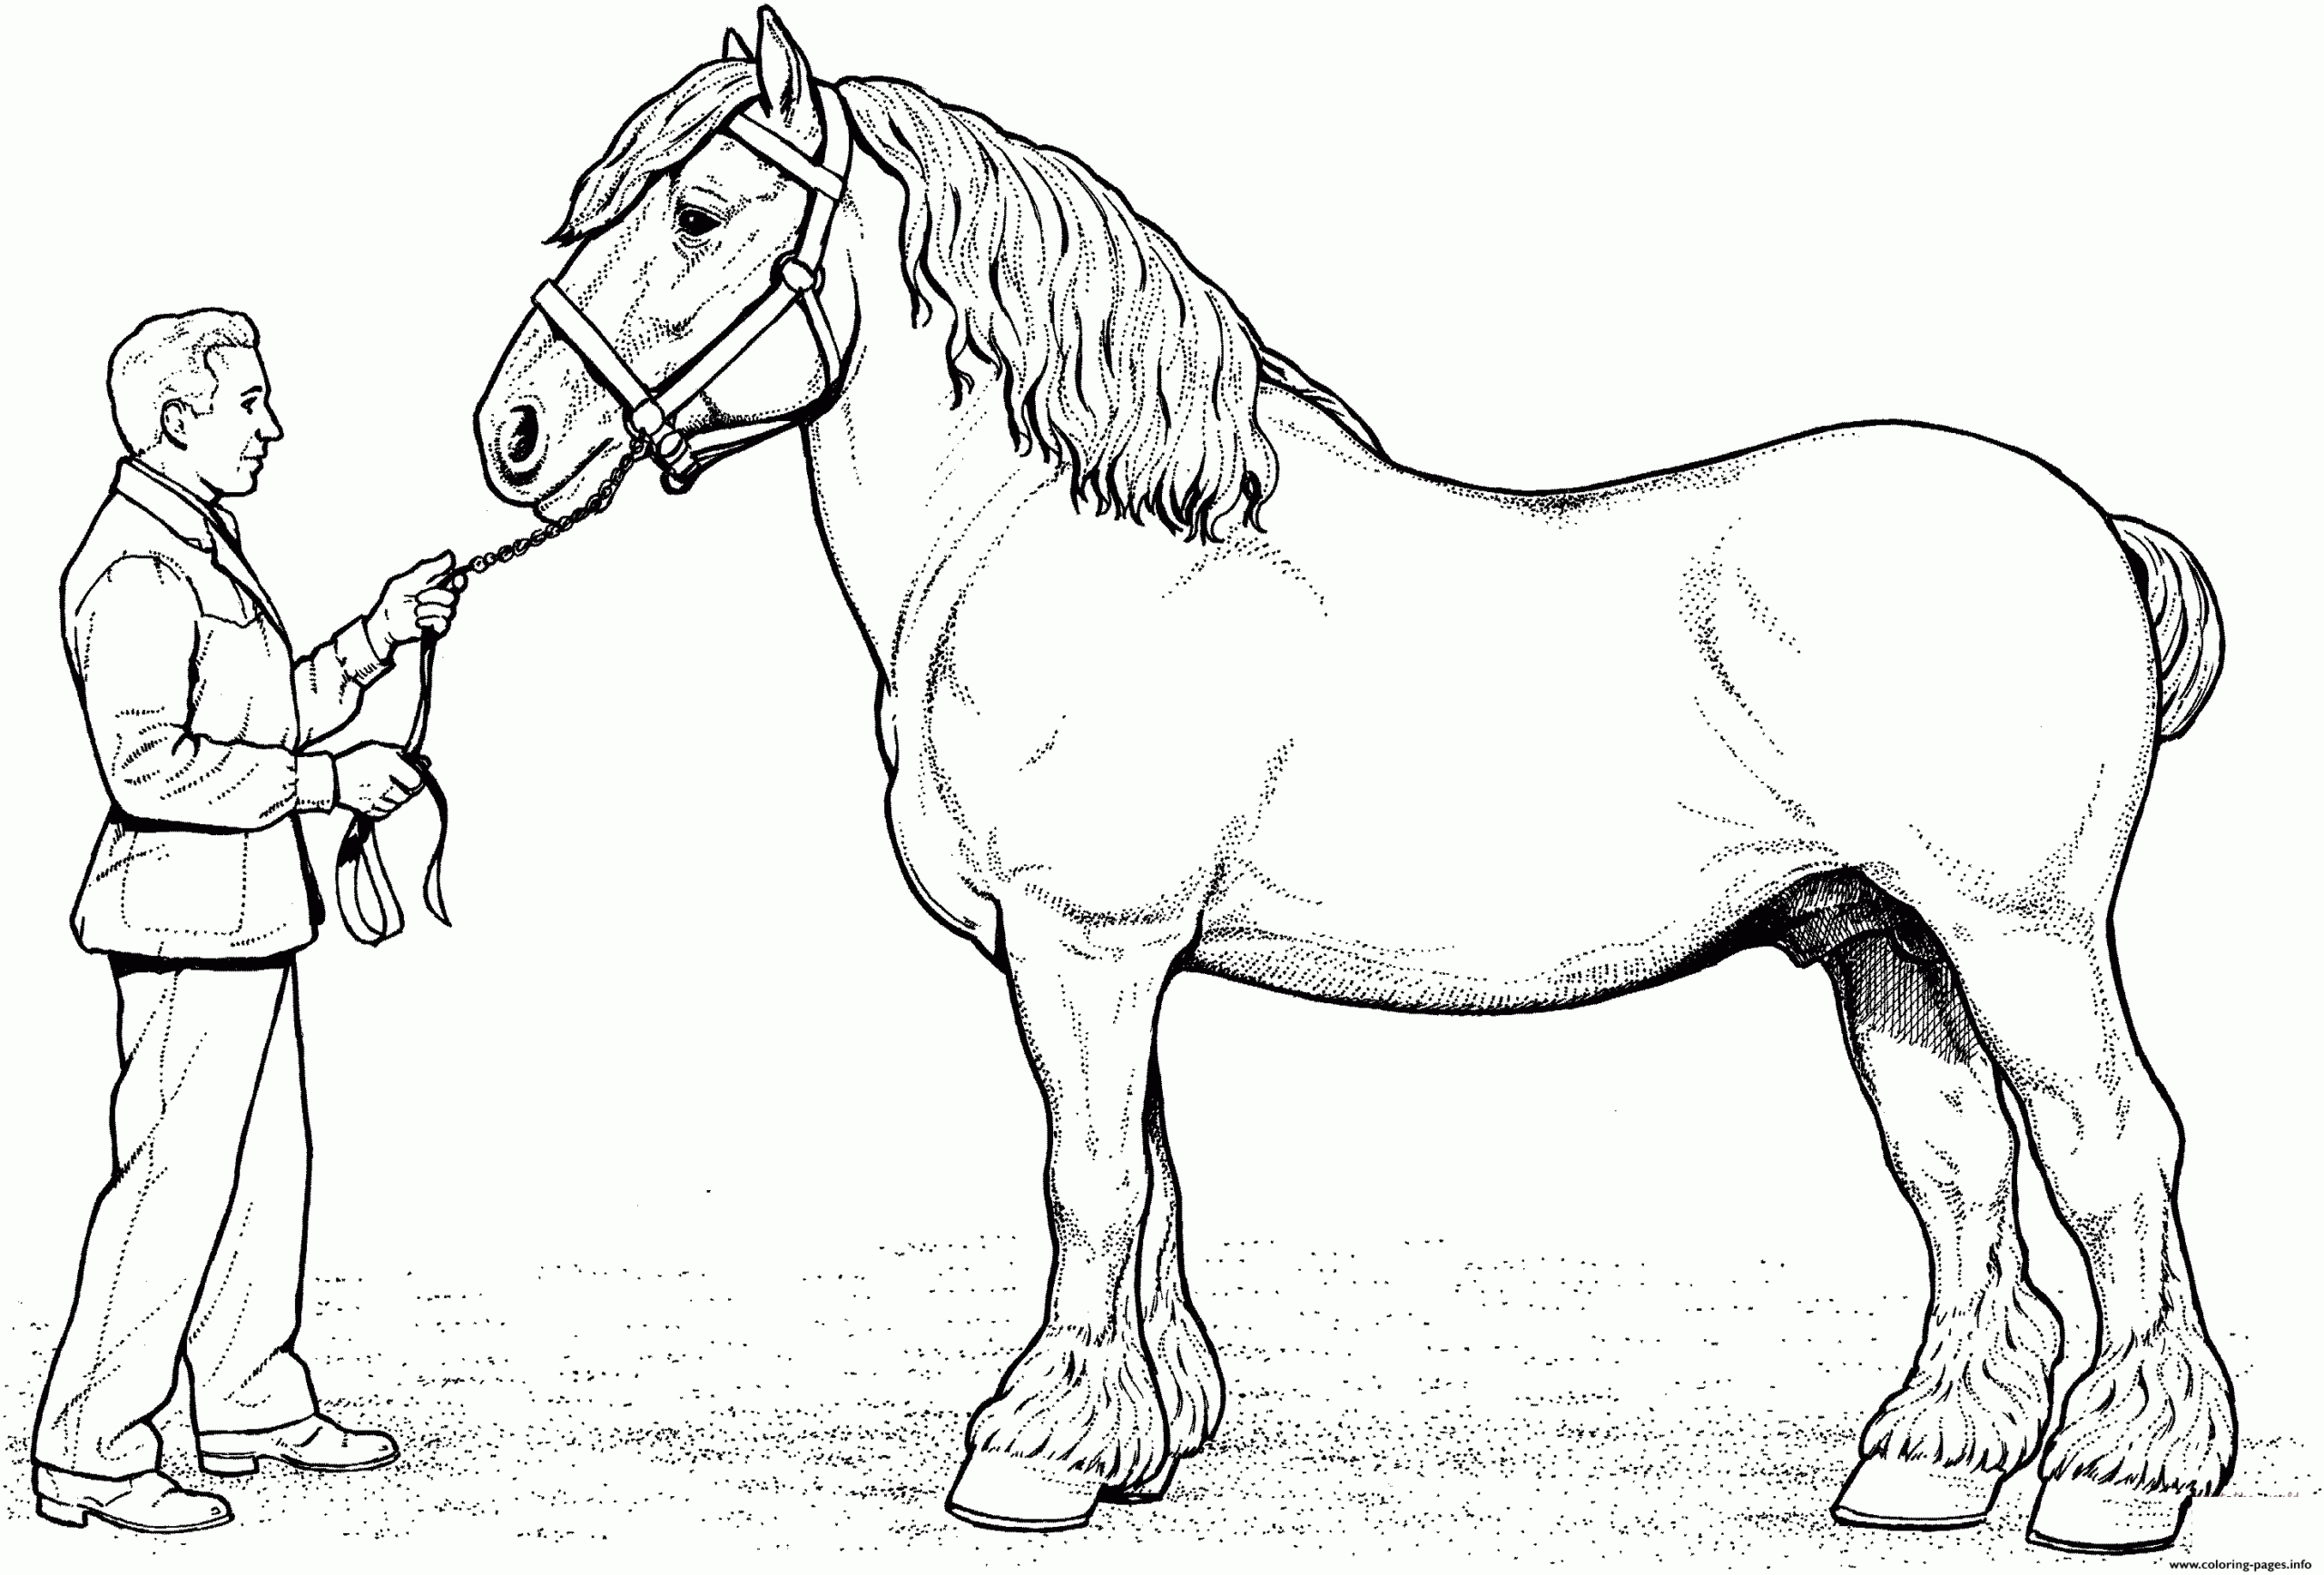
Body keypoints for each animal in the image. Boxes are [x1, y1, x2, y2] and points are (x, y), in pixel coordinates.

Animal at [472, 9, 2232, 1554]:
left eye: (700, 211)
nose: (515, 433)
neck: (1079, 548)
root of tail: (2092, 529)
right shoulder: (1116, 960)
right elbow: (1152, 1185)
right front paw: (1135, 1441)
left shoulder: (1086, 944)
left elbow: (1089, 1184)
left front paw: (1030, 1455)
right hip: (1886, 942)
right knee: (1958, 1168)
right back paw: (1928, 1466)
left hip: (2017, 938)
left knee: (2111, 1150)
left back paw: (2117, 1482)